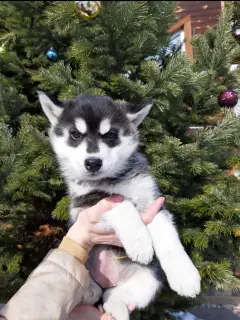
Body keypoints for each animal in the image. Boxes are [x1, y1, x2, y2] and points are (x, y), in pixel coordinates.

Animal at [38, 92, 202, 320]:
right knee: (91, 290)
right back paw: (89, 290)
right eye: (75, 134)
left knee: (110, 297)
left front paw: (185, 276)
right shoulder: (84, 203)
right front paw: (140, 242)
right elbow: (120, 203)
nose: (93, 162)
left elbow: (168, 237)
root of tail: (108, 281)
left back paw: (115, 309)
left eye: (111, 135)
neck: (114, 180)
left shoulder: (153, 203)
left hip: (150, 279)